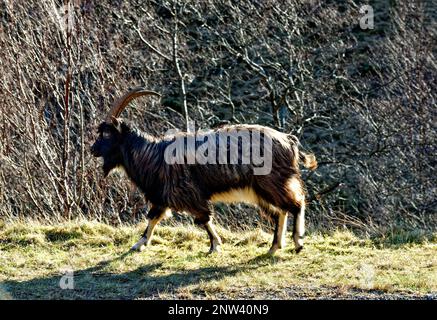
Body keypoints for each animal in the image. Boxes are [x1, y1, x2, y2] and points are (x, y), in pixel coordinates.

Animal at [91, 87, 316, 255]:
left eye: (107, 134)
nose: (93, 149)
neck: (152, 155)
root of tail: (288, 140)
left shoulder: (187, 193)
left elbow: (203, 218)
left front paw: (214, 245)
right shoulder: (162, 195)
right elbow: (153, 217)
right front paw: (138, 244)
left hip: (273, 181)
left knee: (296, 204)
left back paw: (297, 242)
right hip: (259, 190)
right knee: (281, 211)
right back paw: (274, 247)